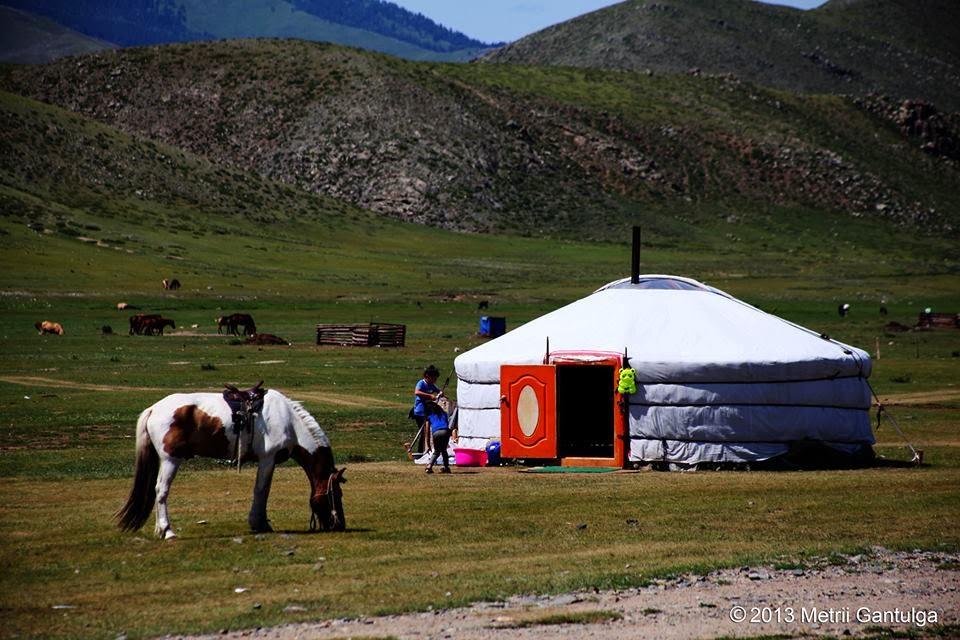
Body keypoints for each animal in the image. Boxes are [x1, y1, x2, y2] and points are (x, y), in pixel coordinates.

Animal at [116, 390, 346, 540]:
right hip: (170, 459)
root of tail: (153, 409)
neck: (289, 422)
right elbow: (262, 490)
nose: (340, 526)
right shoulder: (268, 458)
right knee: (161, 490)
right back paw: (168, 531)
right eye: (336, 494)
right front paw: (260, 523)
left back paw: (160, 529)